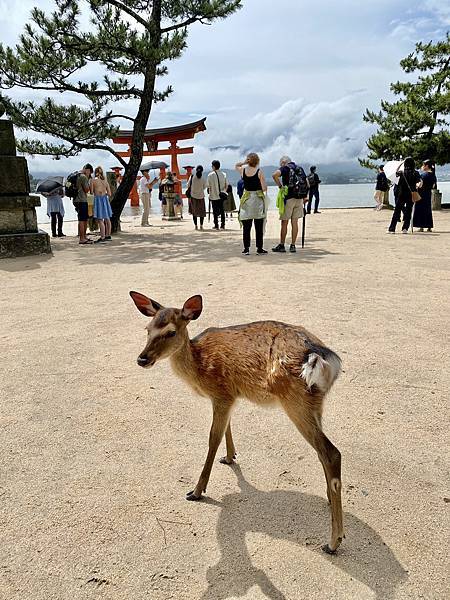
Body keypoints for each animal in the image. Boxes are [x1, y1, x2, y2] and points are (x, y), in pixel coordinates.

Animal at [129, 290, 344, 552]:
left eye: (171, 332)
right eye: (147, 329)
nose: (142, 359)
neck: (199, 368)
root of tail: (321, 357)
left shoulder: (221, 393)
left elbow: (213, 437)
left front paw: (197, 491)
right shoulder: (230, 396)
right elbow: (227, 429)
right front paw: (230, 457)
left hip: (295, 400)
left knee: (332, 453)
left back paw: (333, 542)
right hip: (316, 404)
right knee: (322, 453)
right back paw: (328, 500)